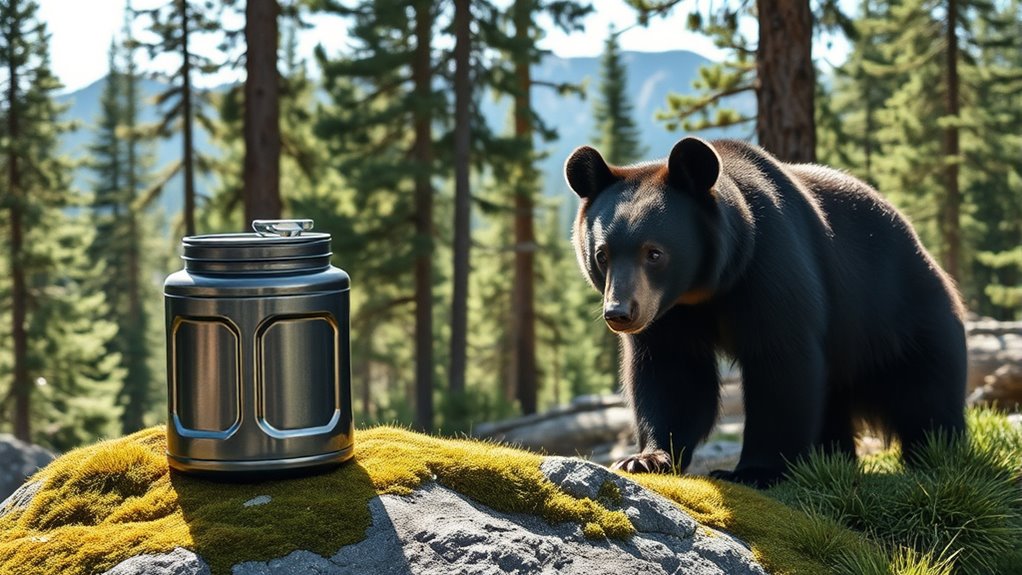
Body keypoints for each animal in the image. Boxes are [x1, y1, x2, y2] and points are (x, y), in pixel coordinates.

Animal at [565, 137, 967, 488]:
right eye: (602, 254)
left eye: (654, 253)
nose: (620, 313)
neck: (705, 287)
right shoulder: (669, 313)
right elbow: (670, 373)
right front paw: (645, 458)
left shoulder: (769, 270)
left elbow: (780, 364)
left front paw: (755, 470)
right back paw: (833, 458)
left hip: (898, 318)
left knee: (927, 394)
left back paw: (935, 455)